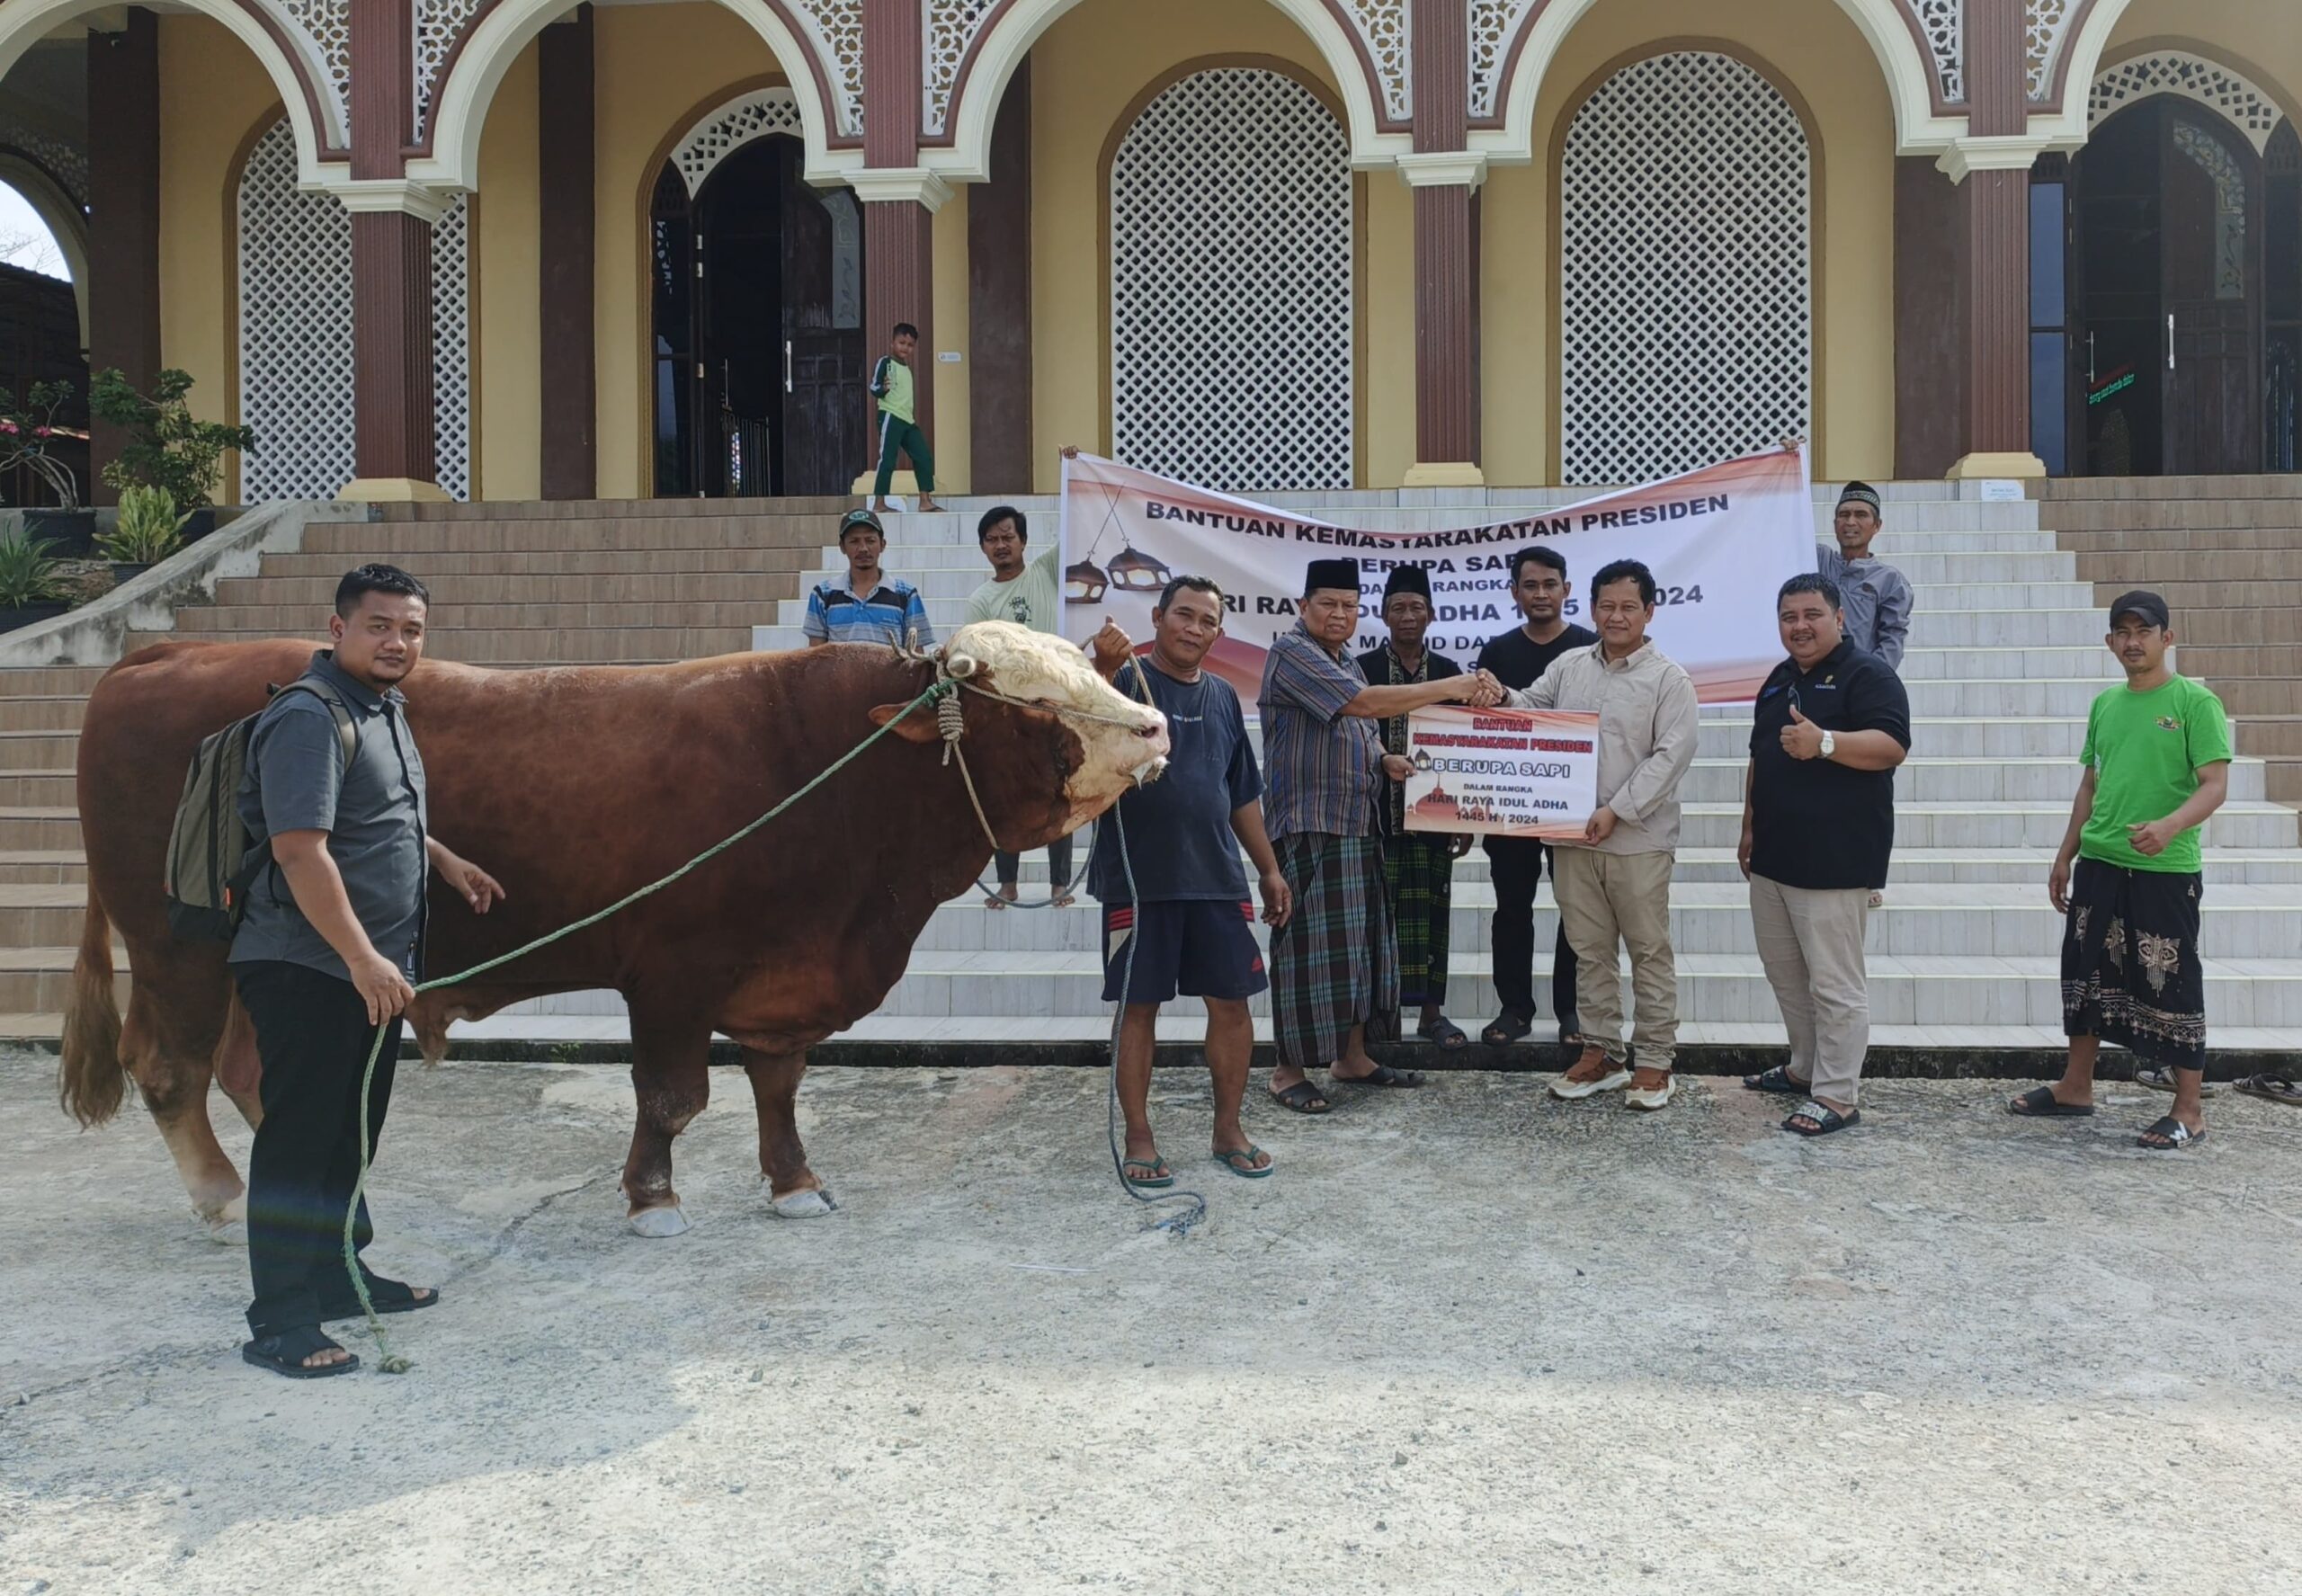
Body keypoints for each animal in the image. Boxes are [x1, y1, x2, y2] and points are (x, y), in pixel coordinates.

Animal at [54, 621, 1169, 1234]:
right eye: (1033, 699)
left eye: (1086, 666)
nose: (1158, 724)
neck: (825, 768)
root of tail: (158, 656)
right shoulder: (670, 972)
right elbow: (674, 1097)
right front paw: (652, 1200)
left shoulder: (785, 977)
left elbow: (777, 1083)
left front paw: (794, 1181)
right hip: (180, 948)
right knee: (173, 1068)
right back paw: (225, 1193)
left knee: (251, 1068)